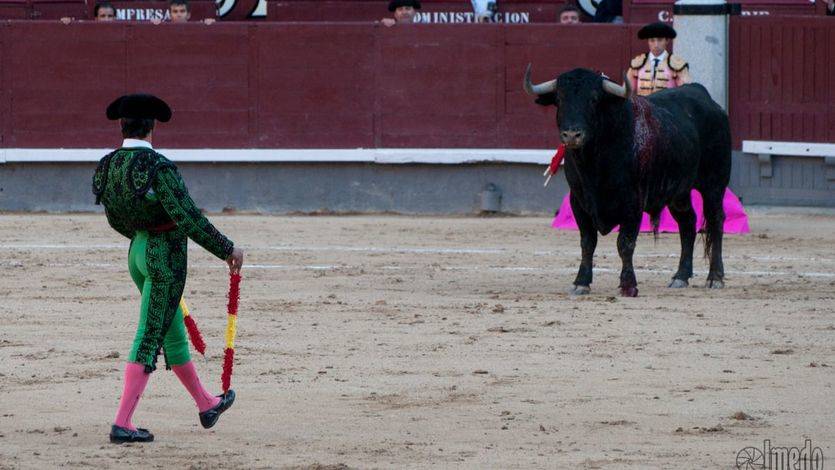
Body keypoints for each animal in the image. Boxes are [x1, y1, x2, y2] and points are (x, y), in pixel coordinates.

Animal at [528, 67, 732, 298]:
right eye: (560, 99)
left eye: (594, 99)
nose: (572, 135)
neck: (593, 163)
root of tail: (708, 99)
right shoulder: (578, 202)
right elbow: (587, 242)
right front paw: (581, 282)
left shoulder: (633, 202)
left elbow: (625, 243)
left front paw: (628, 285)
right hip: (678, 193)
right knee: (687, 222)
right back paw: (680, 276)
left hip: (714, 184)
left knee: (716, 221)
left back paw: (715, 277)